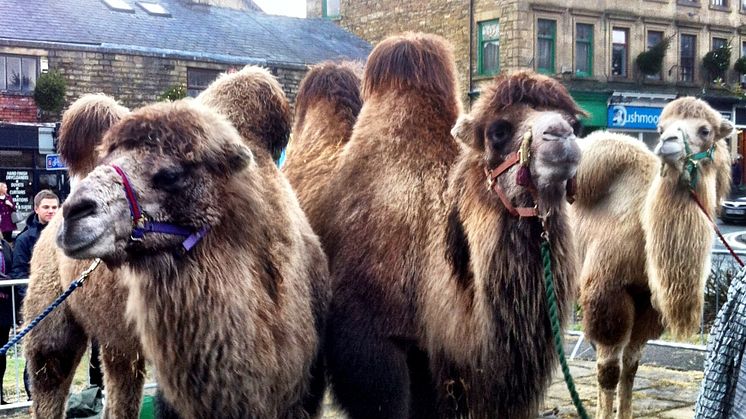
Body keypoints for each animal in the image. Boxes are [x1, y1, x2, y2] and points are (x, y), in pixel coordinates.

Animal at [572, 97, 728, 418]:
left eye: (705, 130)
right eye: (661, 128)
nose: (667, 143)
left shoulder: (648, 303)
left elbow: (630, 368)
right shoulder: (608, 293)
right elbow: (609, 371)